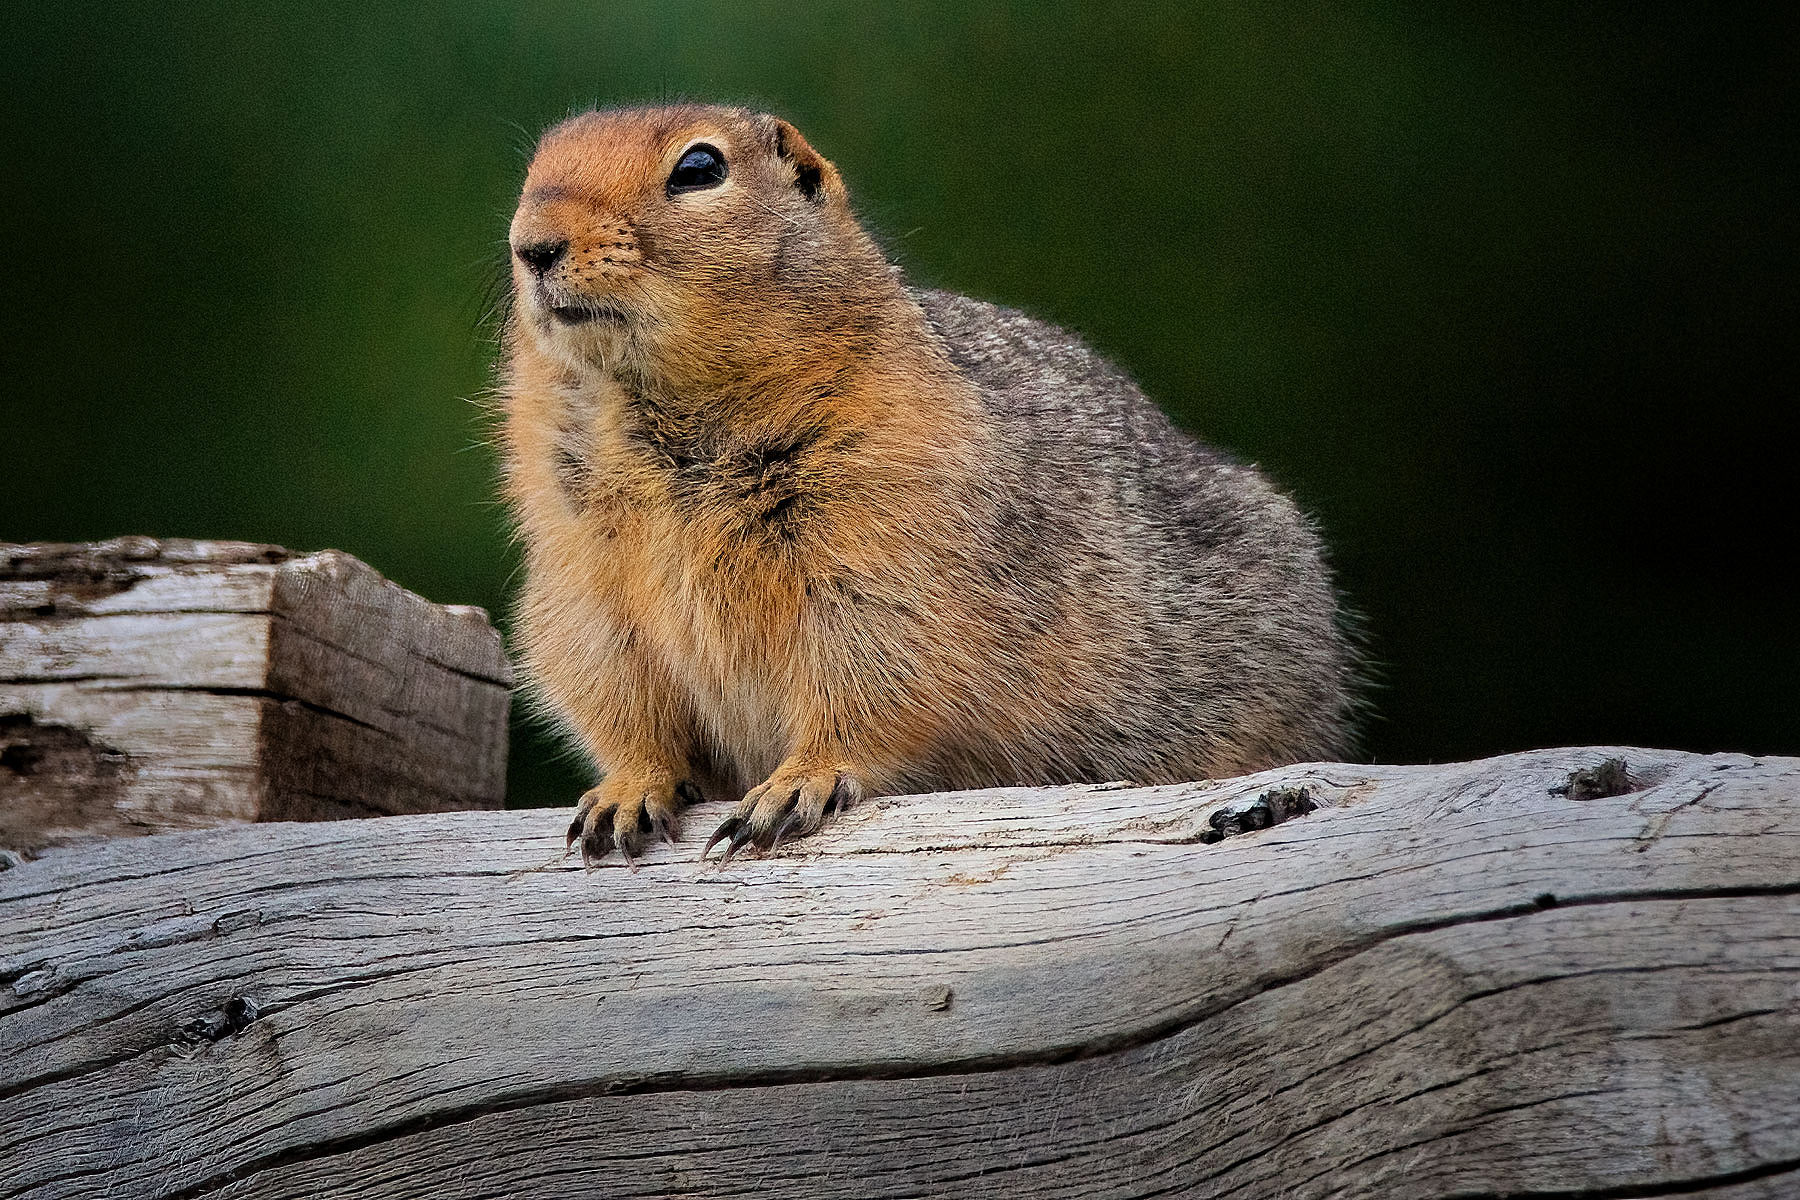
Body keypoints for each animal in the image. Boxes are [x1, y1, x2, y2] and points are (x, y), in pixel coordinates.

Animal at [496, 103, 1353, 863]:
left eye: (699, 167)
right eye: (536, 166)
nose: (531, 245)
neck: (664, 422)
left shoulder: (884, 550)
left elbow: (869, 677)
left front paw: (797, 787)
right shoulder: (585, 583)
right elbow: (617, 696)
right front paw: (625, 793)